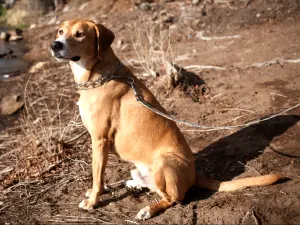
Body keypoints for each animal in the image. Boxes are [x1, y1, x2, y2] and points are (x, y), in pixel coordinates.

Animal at [50, 19, 282, 220]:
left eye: (79, 34)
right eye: (60, 32)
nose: (55, 45)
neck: (96, 74)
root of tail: (194, 175)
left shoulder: (99, 140)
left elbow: (97, 176)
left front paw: (92, 201)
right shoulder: (100, 145)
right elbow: (98, 175)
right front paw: (94, 193)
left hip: (164, 161)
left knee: (173, 198)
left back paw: (148, 210)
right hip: (139, 167)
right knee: (156, 188)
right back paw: (134, 184)